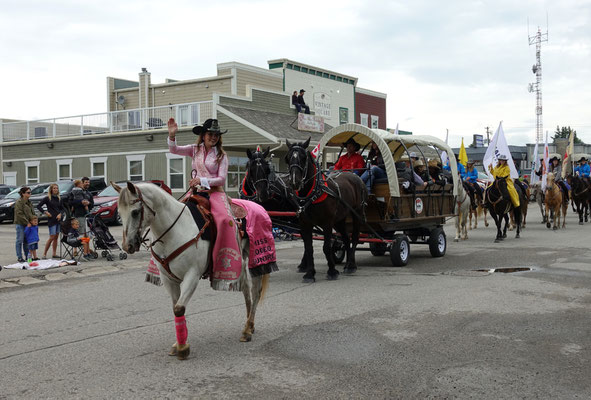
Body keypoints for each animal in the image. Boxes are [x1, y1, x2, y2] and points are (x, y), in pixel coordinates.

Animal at [117, 183, 270, 360]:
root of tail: (260, 207)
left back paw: (248, 329)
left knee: (255, 291)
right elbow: (175, 308)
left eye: (135, 212)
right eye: (119, 213)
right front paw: (178, 344)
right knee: (246, 288)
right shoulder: (168, 279)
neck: (174, 231)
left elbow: (179, 308)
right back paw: (248, 327)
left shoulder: (192, 275)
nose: (128, 246)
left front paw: (183, 348)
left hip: (256, 261)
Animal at [286, 139, 366, 282]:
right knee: (346, 239)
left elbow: (326, 247)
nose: (294, 181)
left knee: (355, 238)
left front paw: (332, 271)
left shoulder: (327, 223)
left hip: (357, 213)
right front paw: (310, 273)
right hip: (339, 220)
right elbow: (309, 248)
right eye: (288, 158)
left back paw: (352, 265)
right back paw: (347, 265)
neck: (313, 192)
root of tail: (356, 177)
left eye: (303, 157)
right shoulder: (305, 224)